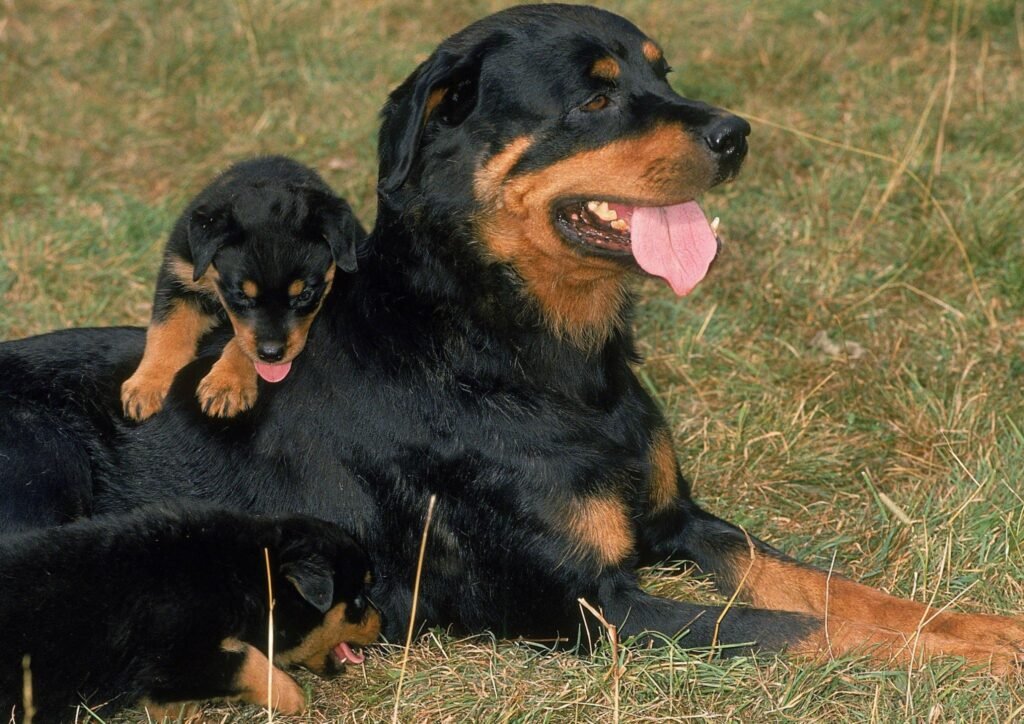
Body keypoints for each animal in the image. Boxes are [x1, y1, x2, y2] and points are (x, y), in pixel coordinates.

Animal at [0, 503, 382, 724]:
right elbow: (248, 659)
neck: (237, 575)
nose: (383, 622)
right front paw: (293, 697)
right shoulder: (173, 656)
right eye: (357, 601)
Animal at [120, 155, 364, 421]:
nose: (272, 355)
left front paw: (226, 386)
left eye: (305, 295)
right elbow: (167, 330)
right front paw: (147, 385)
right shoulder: (180, 274)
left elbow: (241, 342)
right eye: (241, 295)